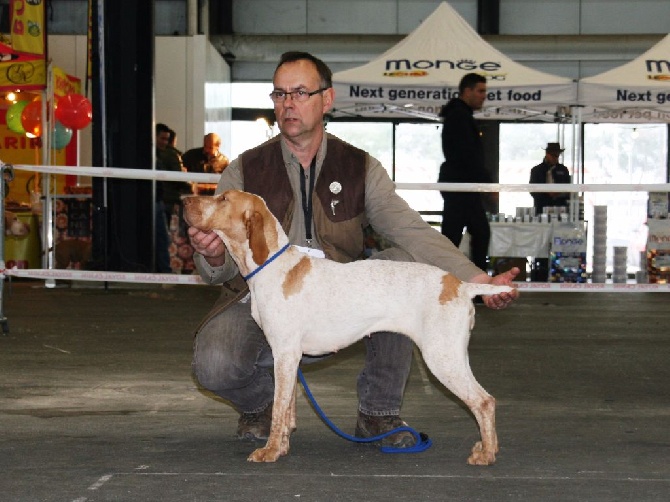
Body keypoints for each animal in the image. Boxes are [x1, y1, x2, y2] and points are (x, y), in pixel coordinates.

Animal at [184, 190, 516, 464]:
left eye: (223, 199)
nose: (185, 200)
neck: (271, 266)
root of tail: (460, 286)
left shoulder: (285, 354)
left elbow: (279, 408)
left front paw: (269, 451)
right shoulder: (288, 358)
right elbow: (287, 407)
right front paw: (282, 447)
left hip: (442, 357)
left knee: (484, 401)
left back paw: (486, 454)